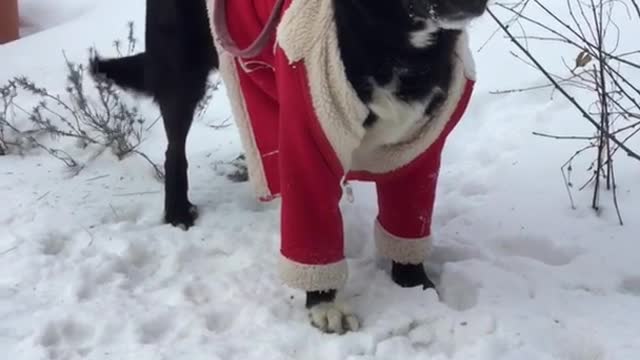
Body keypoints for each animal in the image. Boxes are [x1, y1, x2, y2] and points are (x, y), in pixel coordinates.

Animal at [91, 0, 490, 334]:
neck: (399, 43)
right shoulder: (308, 133)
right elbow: (314, 233)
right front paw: (325, 304)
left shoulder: (418, 151)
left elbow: (408, 224)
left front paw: (413, 283)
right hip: (181, 72)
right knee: (175, 152)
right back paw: (177, 212)